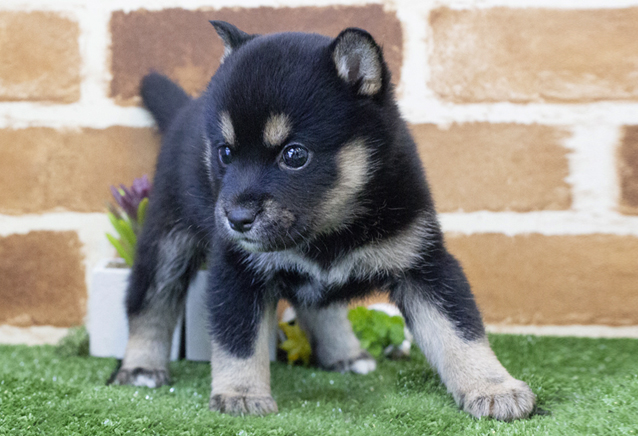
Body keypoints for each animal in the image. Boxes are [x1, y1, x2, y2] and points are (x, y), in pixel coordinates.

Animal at [111, 21, 535, 421]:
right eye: (225, 153)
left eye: (294, 154)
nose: (236, 220)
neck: (329, 231)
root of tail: (184, 110)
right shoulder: (237, 270)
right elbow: (239, 340)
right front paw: (241, 395)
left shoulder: (424, 265)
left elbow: (459, 331)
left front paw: (493, 388)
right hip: (166, 241)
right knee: (150, 304)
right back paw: (141, 368)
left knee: (320, 307)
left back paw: (345, 354)